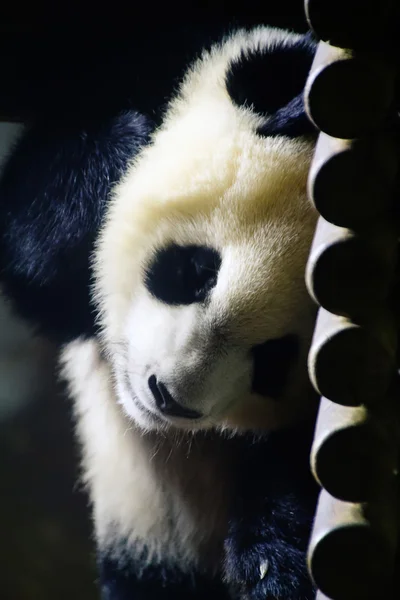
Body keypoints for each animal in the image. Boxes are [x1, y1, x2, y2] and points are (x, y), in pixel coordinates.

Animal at [0, 24, 322, 600]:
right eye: (195, 271)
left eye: (273, 362)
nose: (169, 396)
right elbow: (31, 255)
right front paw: (124, 153)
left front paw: (271, 561)